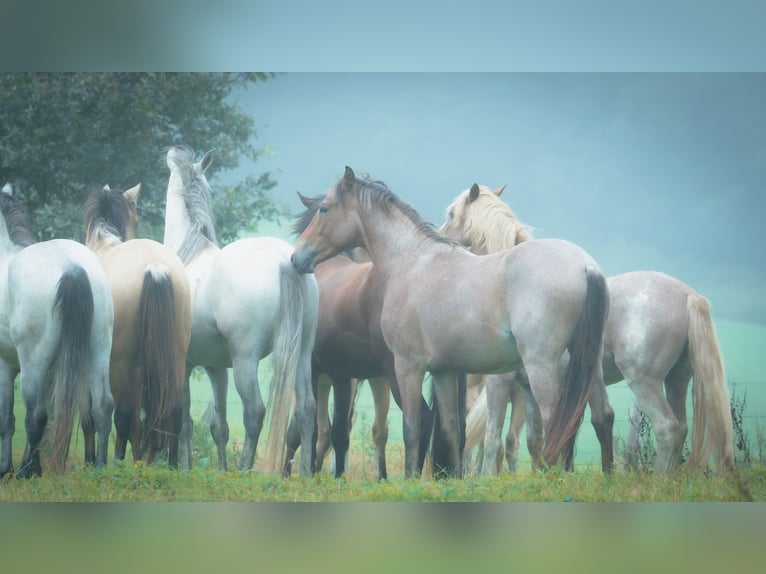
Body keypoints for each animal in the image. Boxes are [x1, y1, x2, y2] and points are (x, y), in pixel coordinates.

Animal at [0, 183, 115, 476]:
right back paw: (99, 468)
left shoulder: (4, 365)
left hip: (33, 363)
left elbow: (6, 417)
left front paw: (6, 468)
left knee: (35, 415)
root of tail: (71, 267)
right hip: (98, 352)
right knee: (102, 407)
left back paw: (25, 472)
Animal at [82, 184, 192, 468]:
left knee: (122, 416)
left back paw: (119, 463)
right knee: (173, 410)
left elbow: (91, 417)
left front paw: (90, 461)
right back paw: (172, 467)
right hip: (175, 357)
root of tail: (155, 266)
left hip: (123, 365)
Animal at [164, 145, 320, 476]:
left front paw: (186, 468)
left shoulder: (185, 363)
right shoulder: (215, 367)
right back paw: (303, 473)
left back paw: (244, 469)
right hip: (302, 353)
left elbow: (184, 421)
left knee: (255, 411)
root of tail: (283, 260)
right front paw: (219, 469)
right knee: (306, 408)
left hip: (245, 360)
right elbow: (219, 426)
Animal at [290, 168, 612, 482]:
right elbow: (451, 430)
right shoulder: (444, 372)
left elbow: (412, 427)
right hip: (587, 365)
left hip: (540, 367)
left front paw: (411, 480)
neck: (412, 262)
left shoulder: (408, 366)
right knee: (600, 416)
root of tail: (586, 266)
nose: (297, 258)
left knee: (556, 420)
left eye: (324, 209)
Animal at [444, 184, 736, 476]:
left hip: (643, 381)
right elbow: (535, 439)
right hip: (676, 378)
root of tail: (688, 295)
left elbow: (493, 438)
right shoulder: (527, 388)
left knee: (667, 428)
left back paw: (659, 479)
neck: (504, 286)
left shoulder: (501, 382)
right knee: (679, 427)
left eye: (451, 213)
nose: (443, 237)